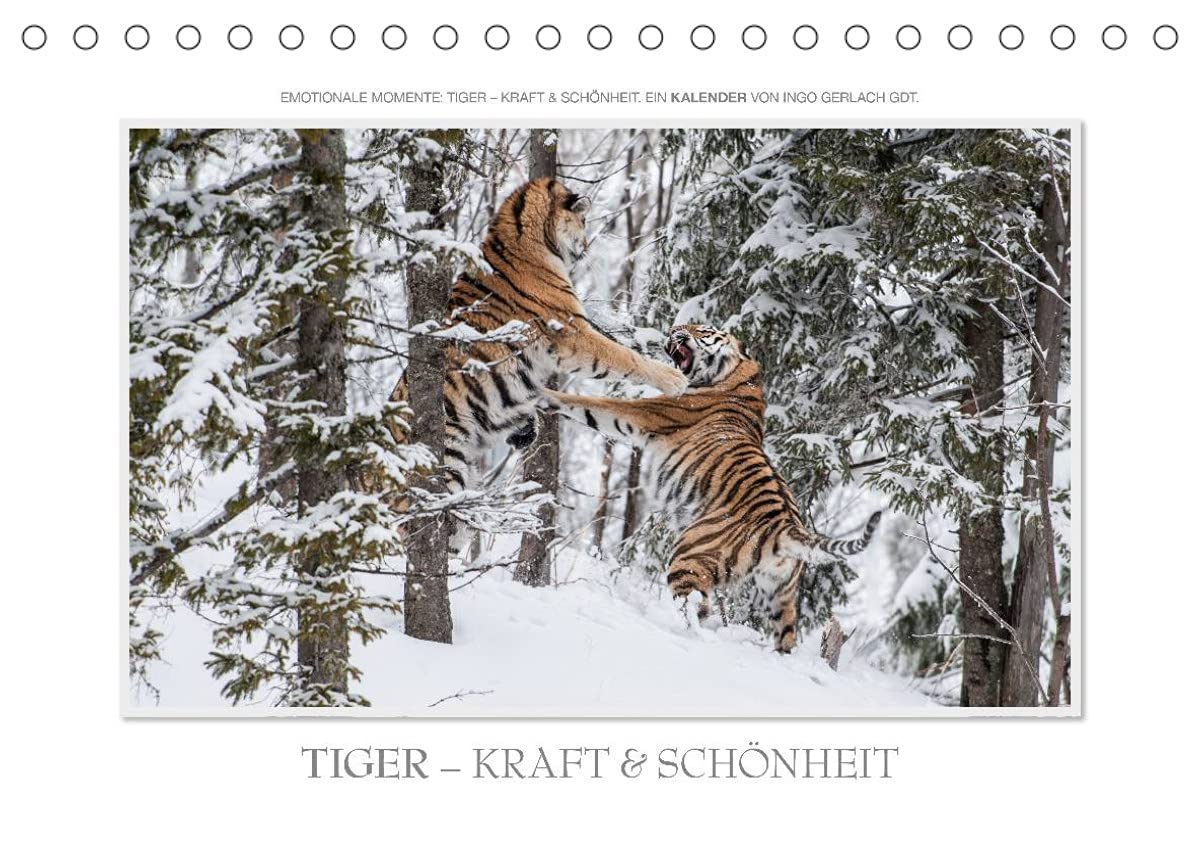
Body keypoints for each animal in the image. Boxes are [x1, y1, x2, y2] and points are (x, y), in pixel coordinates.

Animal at [387, 177, 687, 496]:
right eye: (583, 220)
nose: (585, 246)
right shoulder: (572, 332)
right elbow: (623, 356)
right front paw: (673, 378)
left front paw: (526, 428)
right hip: (449, 457)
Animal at [541, 324, 881, 654]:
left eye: (701, 329)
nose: (672, 330)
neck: (741, 378)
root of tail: (786, 526)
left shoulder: (647, 412)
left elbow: (592, 405)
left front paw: (542, 392)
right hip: (780, 594)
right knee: (784, 636)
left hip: (689, 555)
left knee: (696, 609)